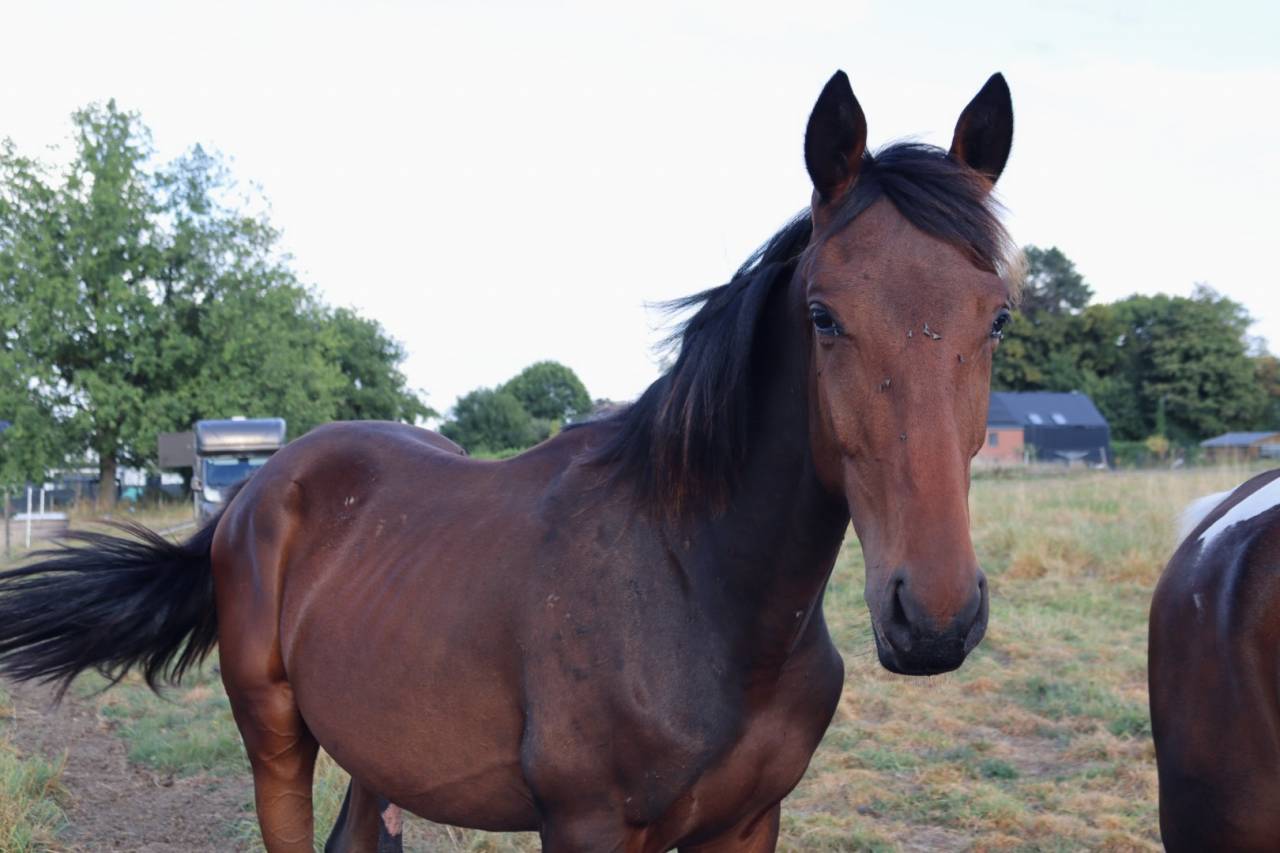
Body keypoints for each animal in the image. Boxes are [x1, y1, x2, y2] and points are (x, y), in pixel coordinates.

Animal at [0, 70, 1018, 852]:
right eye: (822, 315)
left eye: (999, 315)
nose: (932, 617)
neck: (695, 585)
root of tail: (256, 493)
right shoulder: (590, 828)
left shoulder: (747, 824)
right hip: (276, 739)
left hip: (376, 751)